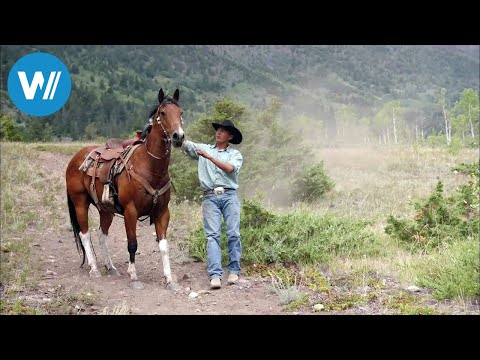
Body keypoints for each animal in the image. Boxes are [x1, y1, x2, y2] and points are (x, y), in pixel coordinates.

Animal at [64, 88, 184, 292]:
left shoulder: (162, 212)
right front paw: (134, 277)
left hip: (106, 209)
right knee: (85, 233)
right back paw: (94, 268)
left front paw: (170, 280)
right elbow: (132, 244)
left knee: (101, 234)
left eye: (181, 112)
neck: (150, 167)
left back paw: (110, 266)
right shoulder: (130, 211)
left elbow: (163, 246)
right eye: (162, 113)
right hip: (80, 202)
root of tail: (76, 158)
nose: (178, 136)